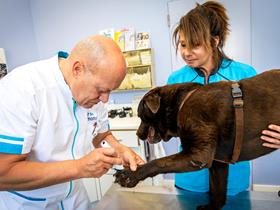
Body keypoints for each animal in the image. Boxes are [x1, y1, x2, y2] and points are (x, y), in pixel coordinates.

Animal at [114, 69, 280, 210]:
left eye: (140, 115)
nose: (137, 134)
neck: (181, 104)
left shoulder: (197, 156)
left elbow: (159, 162)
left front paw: (129, 175)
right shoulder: (218, 163)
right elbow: (218, 190)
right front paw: (212, 207)